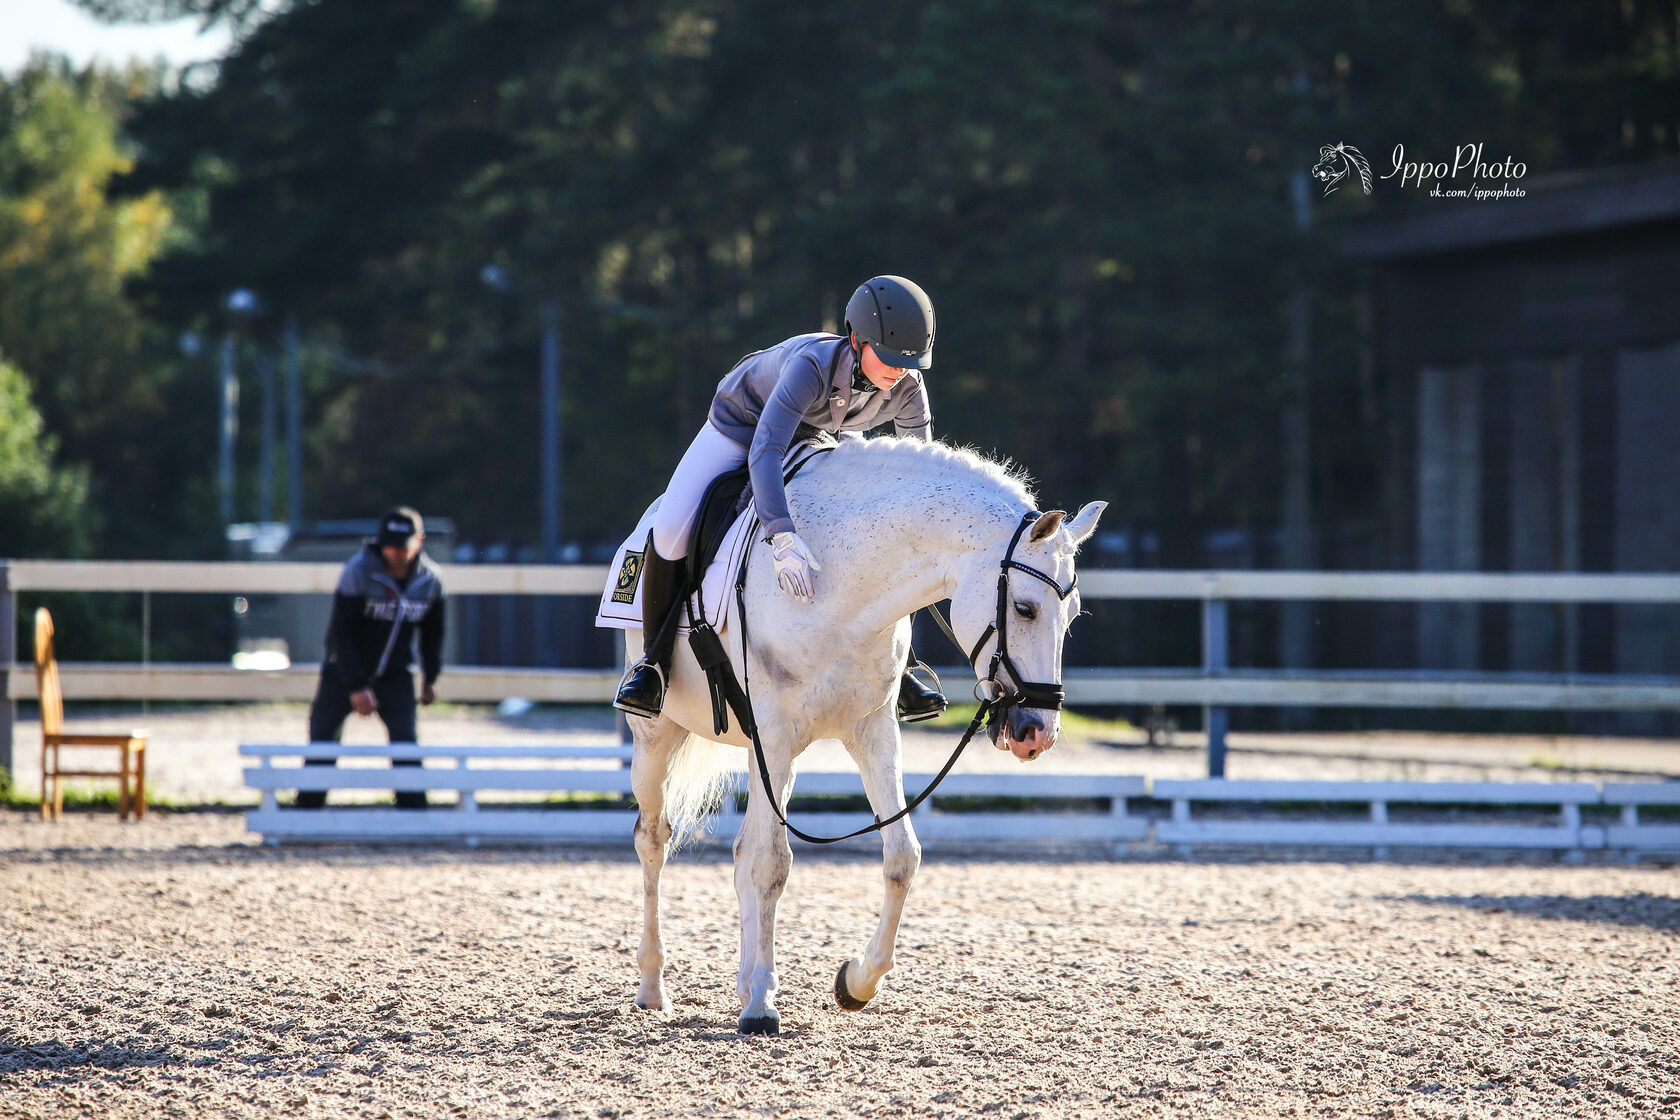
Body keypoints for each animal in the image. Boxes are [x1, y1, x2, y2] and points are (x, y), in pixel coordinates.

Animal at [624, 436, 1108, 1034]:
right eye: (1025, 608)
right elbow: (771, 865)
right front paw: (761, 1007)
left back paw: (744, 980)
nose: (1036, 733)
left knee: (740, 849)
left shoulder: (871, 732)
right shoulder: (774, 735)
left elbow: (901, 857)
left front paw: (855, 983)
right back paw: (654, 985)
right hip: (658, 736)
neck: (844, 583)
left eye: (1073, 615)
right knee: (655, 838)